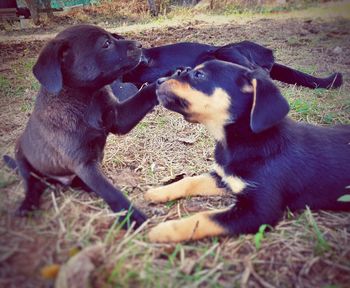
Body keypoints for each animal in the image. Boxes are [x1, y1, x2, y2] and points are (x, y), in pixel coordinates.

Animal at [5, 24, 158, 227]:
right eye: (106, 43)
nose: (140, 45)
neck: (86, 98)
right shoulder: (83, 162)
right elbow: (110, 192)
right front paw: (132, 216)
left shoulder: (119, 119)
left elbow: (143, 95)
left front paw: (170, 81)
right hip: (22, 157)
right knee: (32, 184)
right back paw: (28, 203)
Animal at [144, 59, 348, 242]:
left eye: (199, 75)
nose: (158, 81)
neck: (240, 141)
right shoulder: (226, 178)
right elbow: (190, 181)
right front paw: (159, 192)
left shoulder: (259, 212)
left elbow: (206, 218)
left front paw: (164, 230)